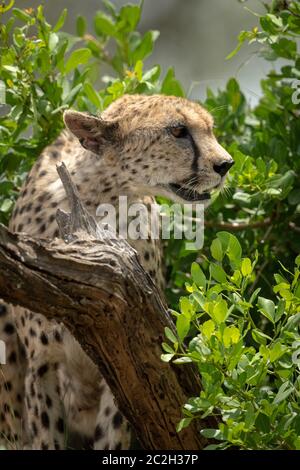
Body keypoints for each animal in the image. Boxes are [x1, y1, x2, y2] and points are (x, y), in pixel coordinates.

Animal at [0, 93, 234, 450]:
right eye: (178, 131)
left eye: (209, 128)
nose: (225, 164)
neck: (102, 198)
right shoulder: (44, 364)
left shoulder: (124, 356)